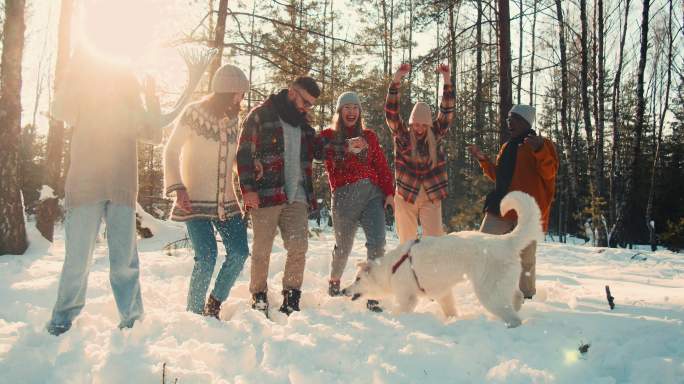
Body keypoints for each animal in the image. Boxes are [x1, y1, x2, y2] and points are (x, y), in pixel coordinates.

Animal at [344, 191, 544, 328]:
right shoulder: (444, 294)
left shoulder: (407, 298)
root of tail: (506, 241)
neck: (391, 268)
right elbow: (450, 311)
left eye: (358, 279)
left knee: (514, 317)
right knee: (517, 296)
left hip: (489, 292)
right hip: (502, 286)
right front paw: (452, 321)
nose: (344, 290)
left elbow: (399, 311)